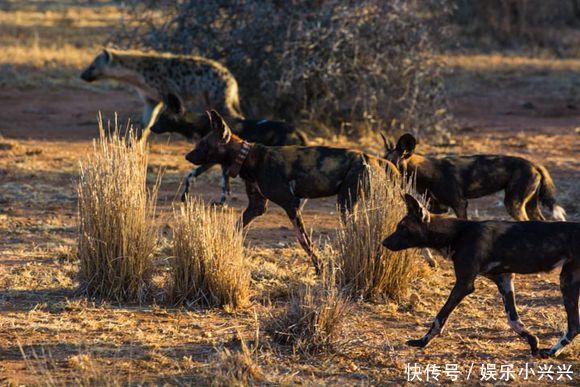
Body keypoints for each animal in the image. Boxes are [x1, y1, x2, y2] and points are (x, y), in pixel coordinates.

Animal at [80, 48, 244, 127]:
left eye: (93, 66)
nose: (82, 75)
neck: (138, 76)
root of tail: (232, 78)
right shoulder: (150, 100)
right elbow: (144, 125)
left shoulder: (166, 94)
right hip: (210, 98)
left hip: (219, 97)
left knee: (237, 117)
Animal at [148, 93, 308, 203]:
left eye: (162, 118)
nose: (151, 128)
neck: (201, 124)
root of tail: (296, 130)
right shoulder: (221, 162)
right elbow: (220, 183)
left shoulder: (212, 160)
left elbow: (197, 177)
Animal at [188, 109, 402, 272]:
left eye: (202, 145)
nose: (187, 156)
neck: (247, 157)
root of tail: (373, 158)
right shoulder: (257, 207)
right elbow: (236, 227)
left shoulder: (291, 204)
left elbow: (304, 241)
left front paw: (320, 268)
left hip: (345, 203)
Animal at [380, 135, 568, 223]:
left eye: (390, 164)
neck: (425, 173)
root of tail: (535, 164)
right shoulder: (439, 207)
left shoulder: (459, 204)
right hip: (529, 205)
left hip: (513, 204)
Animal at [382, 196, 576, 360]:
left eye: (402, 228)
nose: (384, 242)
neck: (457, 234)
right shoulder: (504, 280)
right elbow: (514, 320)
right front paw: (533, 343)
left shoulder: (464, 285)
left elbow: (439, 317)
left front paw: (422, 341)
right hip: (569, 280)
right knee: (575, 326)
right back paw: (551, 351)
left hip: (566, 283)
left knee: (574, 325)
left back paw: (552, 352)